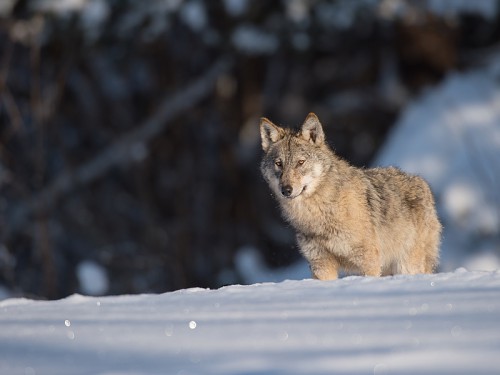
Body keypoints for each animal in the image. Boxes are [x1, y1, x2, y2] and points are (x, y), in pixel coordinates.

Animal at [260, 113, 440, 280]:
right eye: (279, 164)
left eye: (300, 162)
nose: (286, 190)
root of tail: (423, 184)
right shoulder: (321, 264)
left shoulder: (368, 260)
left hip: (406, 266)